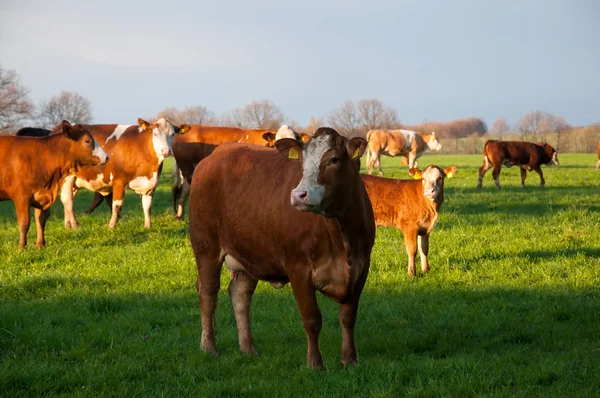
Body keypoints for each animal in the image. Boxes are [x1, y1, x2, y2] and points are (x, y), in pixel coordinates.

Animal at [0, 121, 109, 249]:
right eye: (88, 141)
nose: (107, 157)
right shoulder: (22, 197)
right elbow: (24, 223)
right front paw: (21, 247)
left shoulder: (41, 195)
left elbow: (41, 220)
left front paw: (40, 245)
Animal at [56, 117, 188, 230]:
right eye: (155, 134)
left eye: (173, 134)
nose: (166, 151)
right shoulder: (119, 181)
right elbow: (117, 206)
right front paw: (111, 227)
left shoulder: (151, 185)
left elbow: (147, 207)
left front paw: (148, 227)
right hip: (67, 177)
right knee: (67, 200)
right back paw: (74, 225)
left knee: (68, 199)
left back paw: (67, 224)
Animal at [189, 127, 376, 370]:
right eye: (302, 161)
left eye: (333, 159)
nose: (298, 195)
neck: (341, 237)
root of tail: (214, 156)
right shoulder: (299, 270)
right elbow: (312, 319)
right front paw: (315, 364)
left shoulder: (361, 268)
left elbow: (348, 317)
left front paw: (350, 360)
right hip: (206, 246)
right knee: (208, 293)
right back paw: (209, 347)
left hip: (250, 253)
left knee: (240, 295)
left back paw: (248, 348)